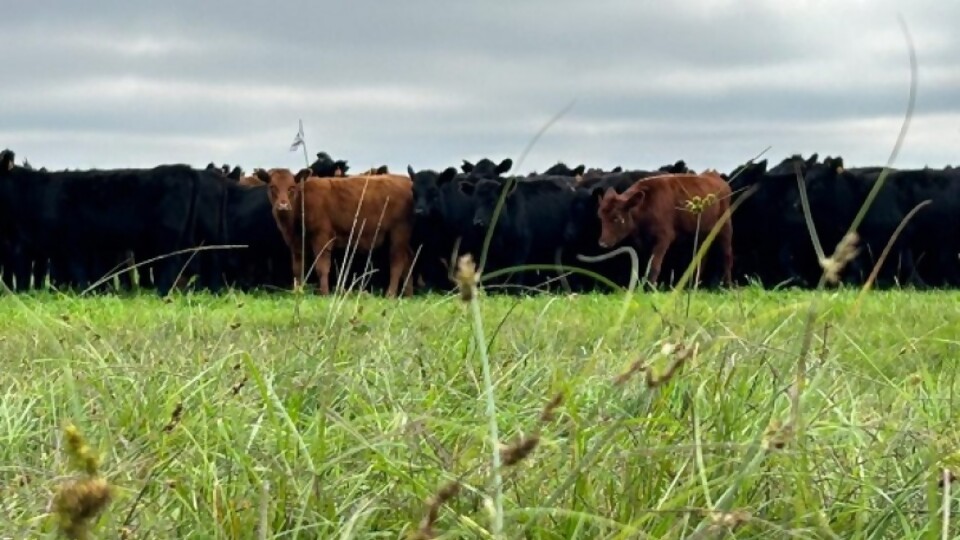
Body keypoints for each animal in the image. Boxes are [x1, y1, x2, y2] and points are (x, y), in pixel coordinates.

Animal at [260, 168, 414, 298]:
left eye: (292, 187)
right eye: (272, 187)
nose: (283, 205)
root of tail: (406, 180)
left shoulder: (322, 237)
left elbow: (322, 266)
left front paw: (324, 293)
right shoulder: (296, 243)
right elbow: (298, 268)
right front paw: (298, 291)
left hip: (398, 233)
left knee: (397, 262)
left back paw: (391, 294)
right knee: (408, 261)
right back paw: (408, 294)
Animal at [592, 175, 736, 288]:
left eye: (617, 218)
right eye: (600, 217)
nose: (603, 243)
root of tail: (715, 177)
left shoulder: (664, 237)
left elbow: (654, 265)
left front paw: (650, 288)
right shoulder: (643, 243)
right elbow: (645, 264)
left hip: (725, 226)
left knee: (727, 254)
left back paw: (728, 286)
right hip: (701, 232)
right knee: (701, 255)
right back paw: (693, 286)